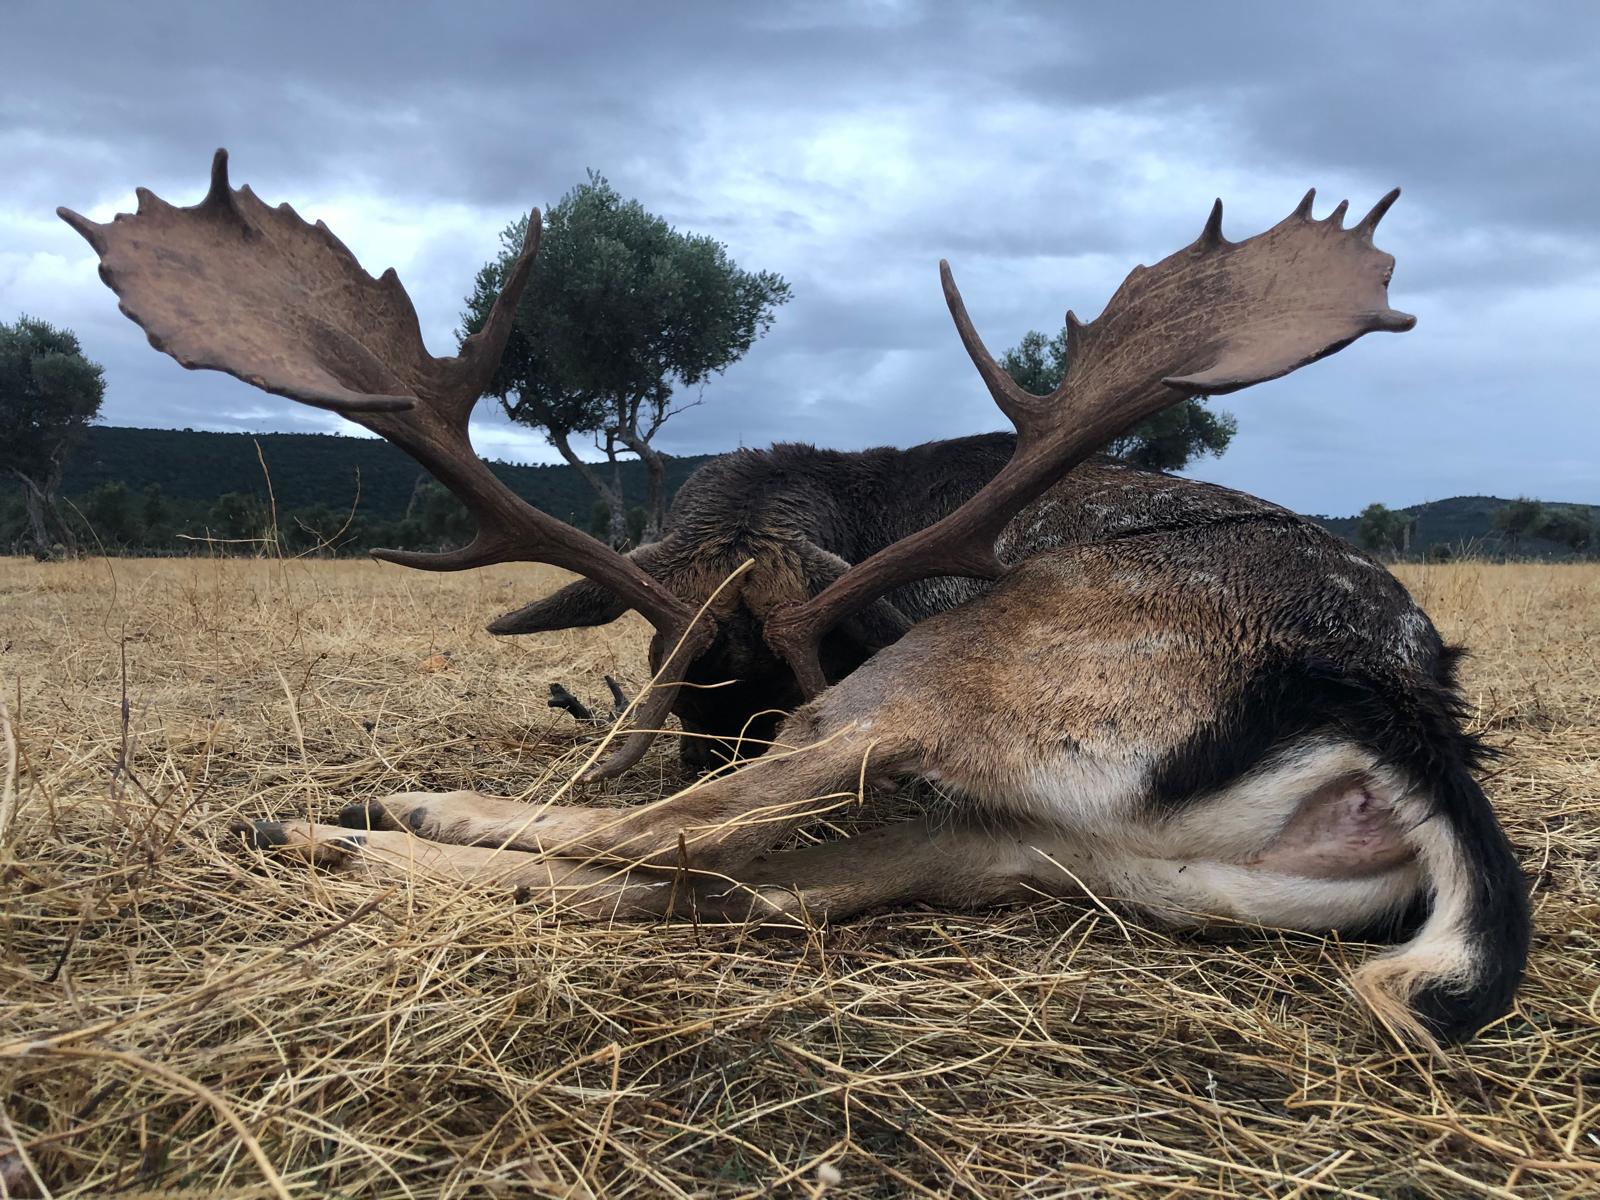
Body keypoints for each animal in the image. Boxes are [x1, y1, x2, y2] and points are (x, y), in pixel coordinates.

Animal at [61, 151, 1529, 1046]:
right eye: (665, 645)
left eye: (762, 665)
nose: (706, 732)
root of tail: (1394, 708)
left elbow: (643, 819)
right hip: (1020, 843)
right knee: (711, 885)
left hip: (945, 694)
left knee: (650, 843)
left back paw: (328, 827)